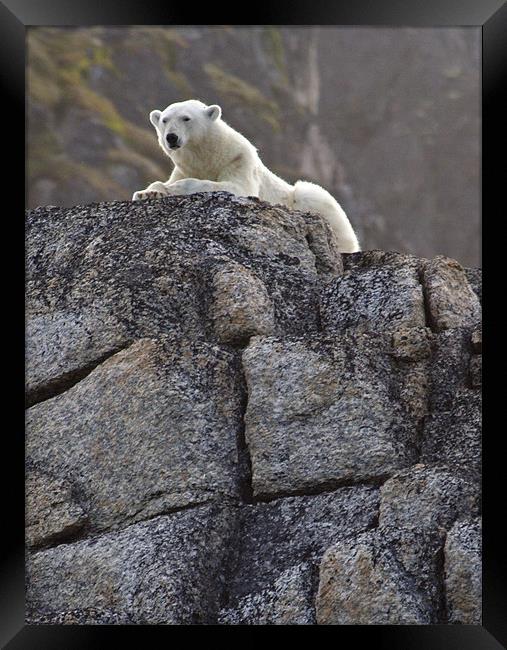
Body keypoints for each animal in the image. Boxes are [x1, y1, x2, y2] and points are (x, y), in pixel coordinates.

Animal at [132, 98, 362, 251]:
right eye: (164, 120)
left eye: (186, 118)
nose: (171, 137)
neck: (209, 155)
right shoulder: (183, 168)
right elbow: (161, 183)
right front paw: (148, 192)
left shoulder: (239, 160)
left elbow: (237, 187)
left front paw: (176, 189)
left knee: (311, 193)